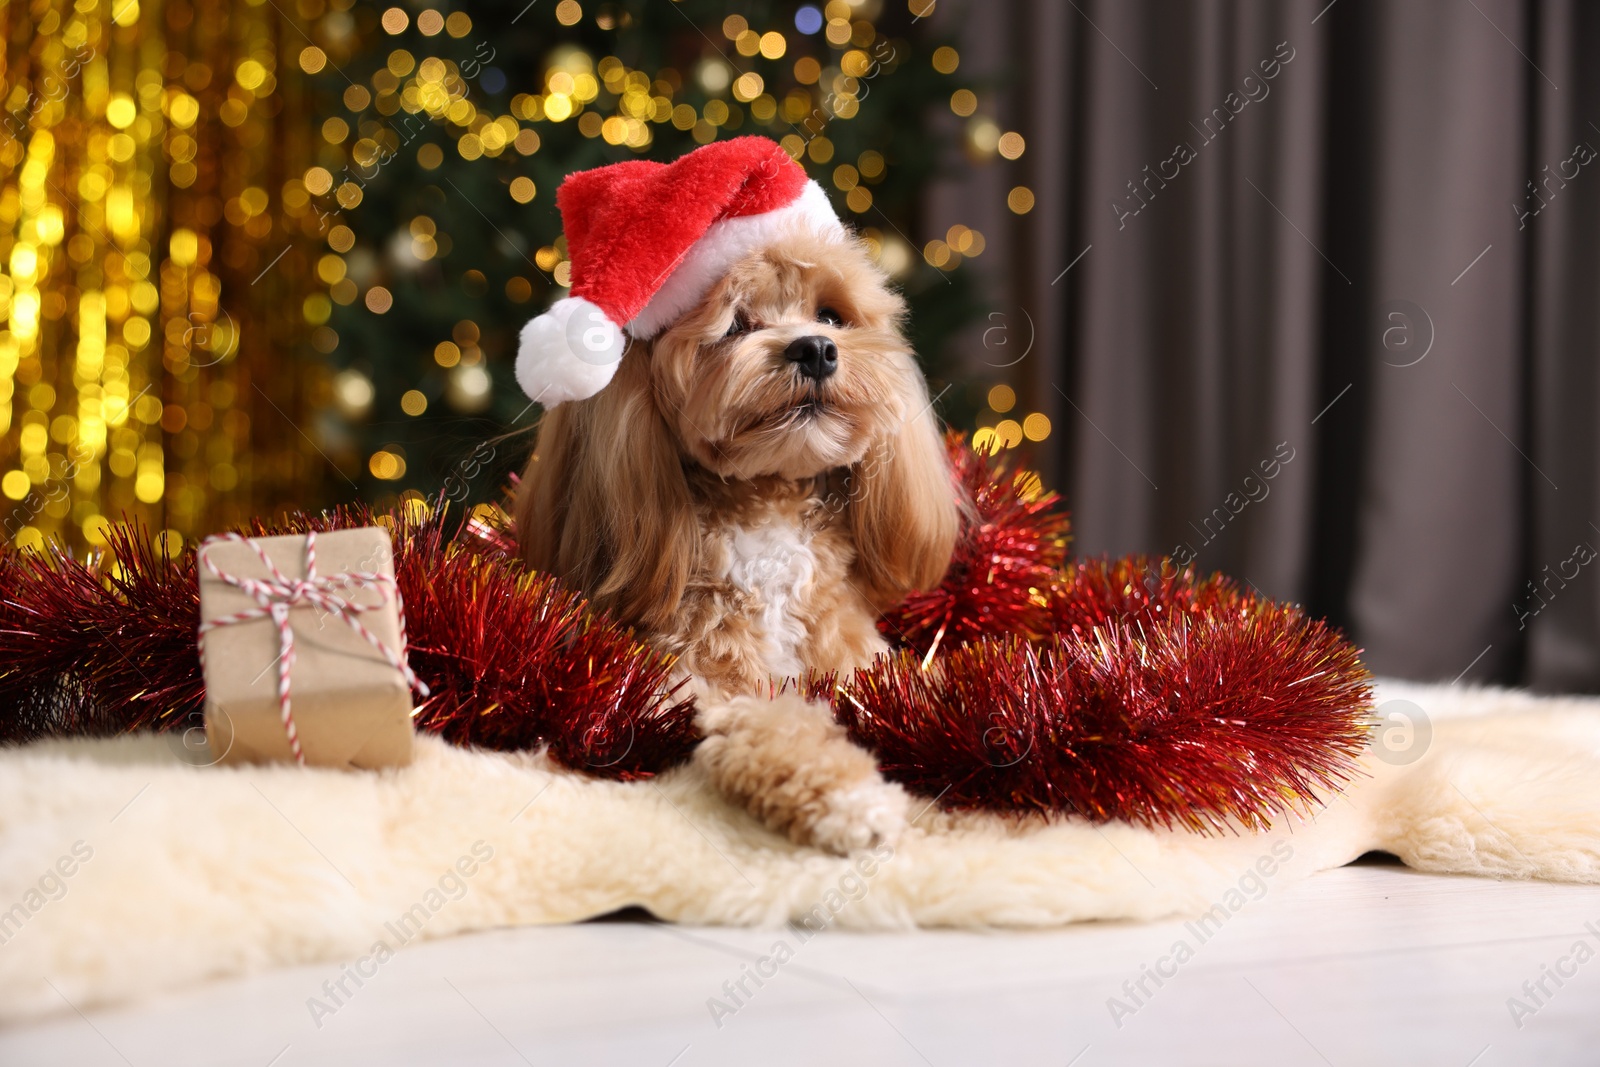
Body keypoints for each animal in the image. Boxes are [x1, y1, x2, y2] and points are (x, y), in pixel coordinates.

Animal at [518, 223, 953, 851]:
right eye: (734, 324)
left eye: (831, 315)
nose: (816, 348)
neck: (767, 511)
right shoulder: (693, 682)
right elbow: (774, 724)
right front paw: (850, 797)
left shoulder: (857, 657)